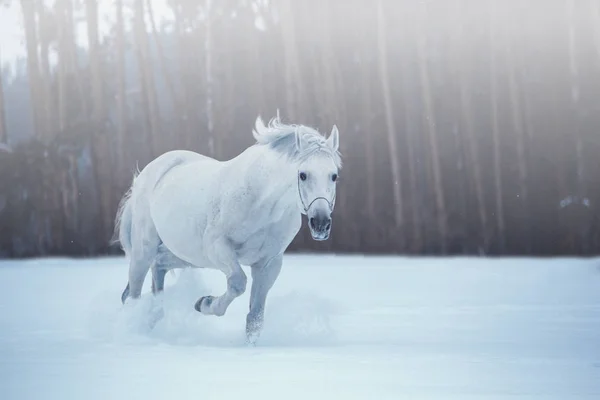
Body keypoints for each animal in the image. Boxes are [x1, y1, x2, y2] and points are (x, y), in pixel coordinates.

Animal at [110, 115, 340, 344]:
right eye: (303, 175)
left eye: (334, 175)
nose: (321, 224)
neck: (262, 201)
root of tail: (148, 174)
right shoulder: (218, 248)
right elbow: (238, 283)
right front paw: (204, 303)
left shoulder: (269, 263)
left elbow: (255, 318)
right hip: (144, 250)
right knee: (133, 293)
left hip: (185, 256)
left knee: (157, 270)